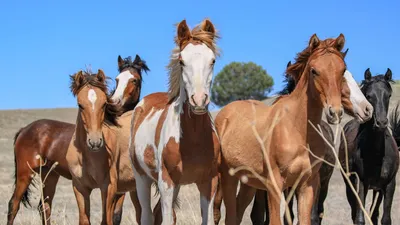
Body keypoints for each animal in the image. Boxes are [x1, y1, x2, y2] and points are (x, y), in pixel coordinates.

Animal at [7, 54, 148, 225]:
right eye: (117, 79)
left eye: (135, 80)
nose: (95, 142)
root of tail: (24, 130)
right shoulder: (83, 187)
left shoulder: (112, 188)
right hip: (25, 173)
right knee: (14, 205)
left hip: (50, 175)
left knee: (44, 207)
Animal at [130, 18, 220, 225]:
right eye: (181, 61)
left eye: (212, 60)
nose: (199, 100)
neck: (194, 139)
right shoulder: (166, 181)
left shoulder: (209, 181)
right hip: (142, 179)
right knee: (147, 215)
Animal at [216, 33, 346, 225]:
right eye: (314, 70)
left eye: (343, 70)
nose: (335, 112)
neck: (297, 130)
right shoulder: (274, 185)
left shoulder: (307, 184)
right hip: (228, 177)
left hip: (249, 183)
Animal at [340, 68, 398, 225]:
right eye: (369, 96)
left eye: (388, 95)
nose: (381, 123)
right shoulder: (360, 183)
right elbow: (360, 218)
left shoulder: (389, 185)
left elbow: (385, 218)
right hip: (350, 184)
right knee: (355, 212)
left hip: (377, 189)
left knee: (374, 213)